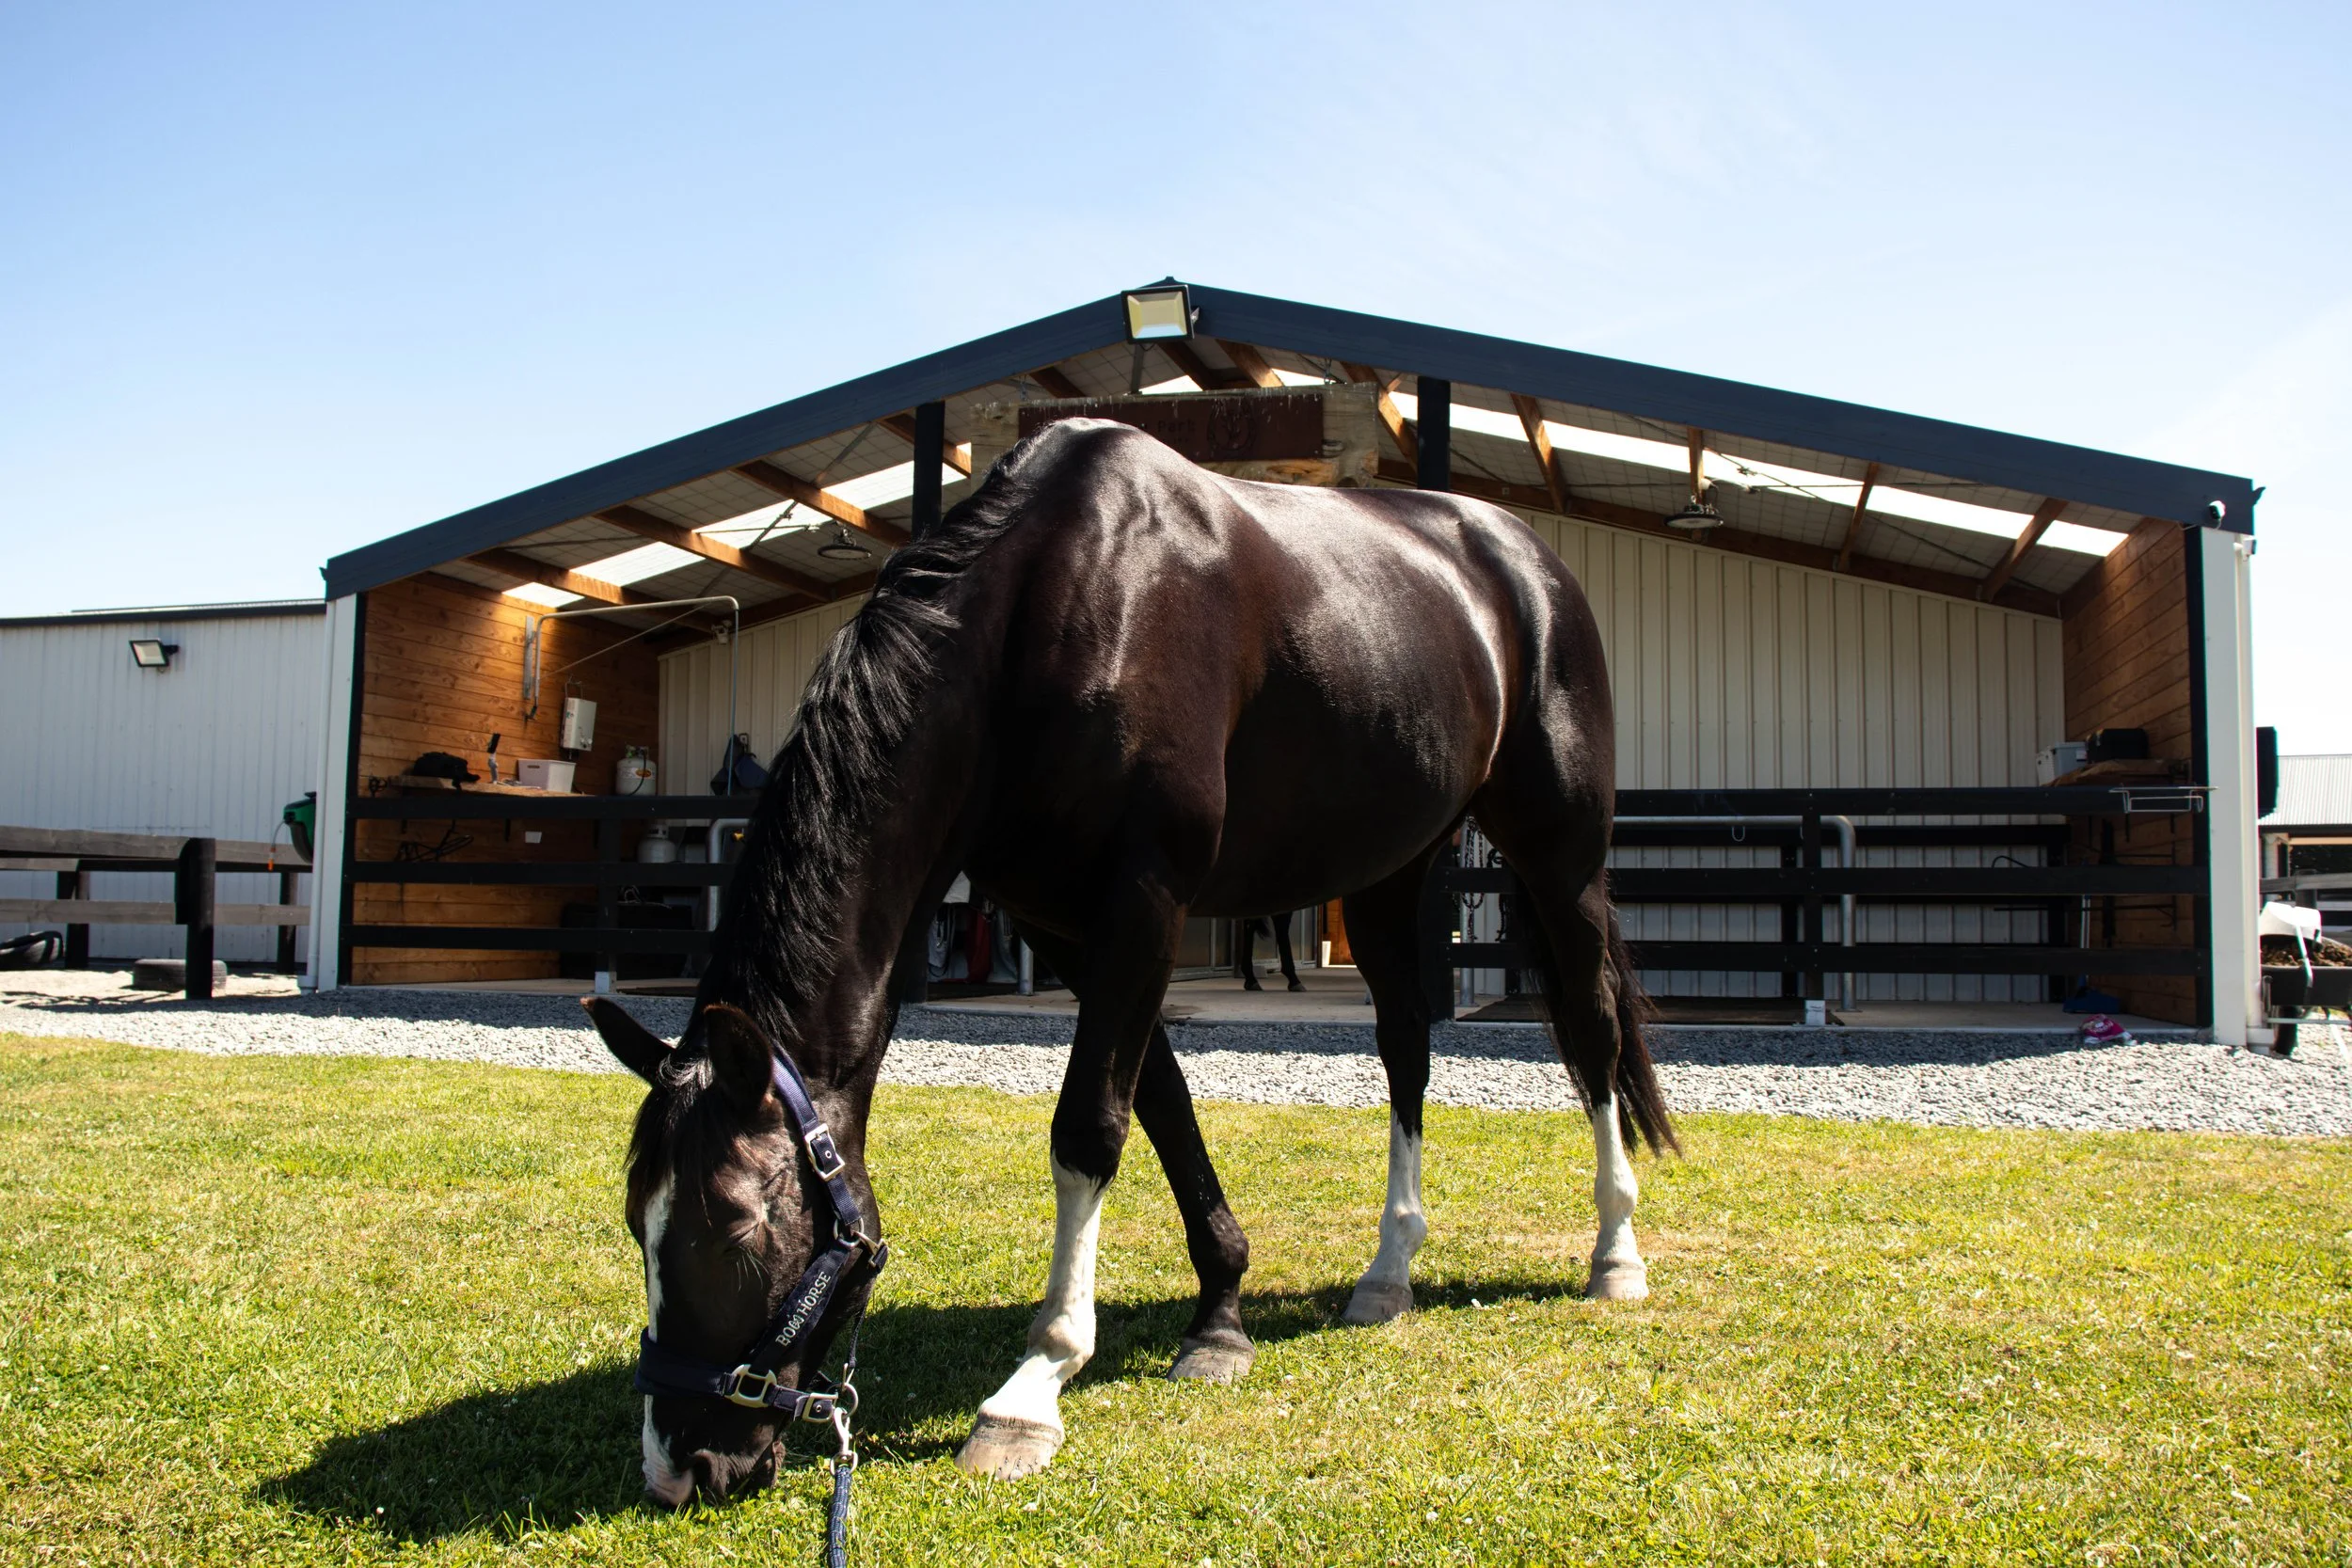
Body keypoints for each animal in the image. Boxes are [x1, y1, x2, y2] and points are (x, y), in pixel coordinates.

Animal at [583, 417, 1674, 1504]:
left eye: (731, 1223)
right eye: (638, 1218)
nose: (677, 1466)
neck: (1055, 607)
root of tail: (1523, 559)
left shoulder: (1144, 898)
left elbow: (1089, 1127)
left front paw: (1035, 1382)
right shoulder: (1069, 926)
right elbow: (1160, 1101)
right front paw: (1220, 1312)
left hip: (1560, 859)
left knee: (1591, 1028)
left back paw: (1614, 1251)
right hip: (1390, 869)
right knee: (1406, 1044)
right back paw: (1387, 1270)